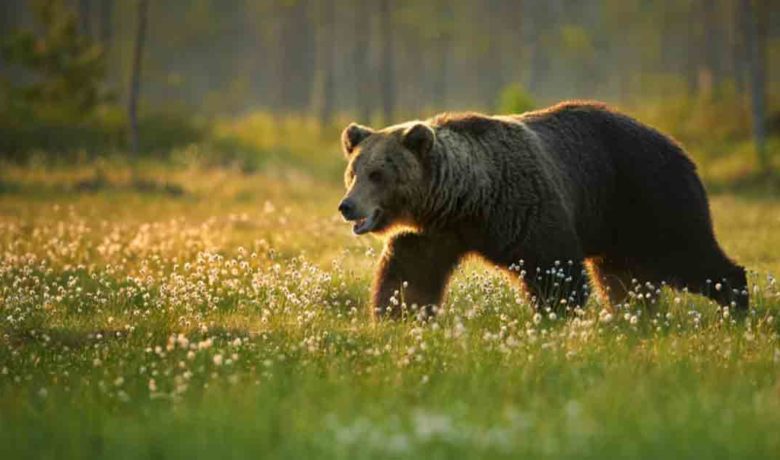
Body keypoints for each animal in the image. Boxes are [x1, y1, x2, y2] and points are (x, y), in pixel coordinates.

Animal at [337, 101, 748, 318]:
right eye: (353, 172)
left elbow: (554, 269)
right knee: (622, 278)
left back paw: (736, 305)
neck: (466, 200)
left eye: (378, 174)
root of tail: (678, 146)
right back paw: (633, 316)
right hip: (616, 225)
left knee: (688, 252)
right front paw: (397, 313)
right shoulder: (435, 232)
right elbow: (410, 272)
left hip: (648, 194)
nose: (347, 206)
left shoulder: (524, 208)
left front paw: (553, 316)